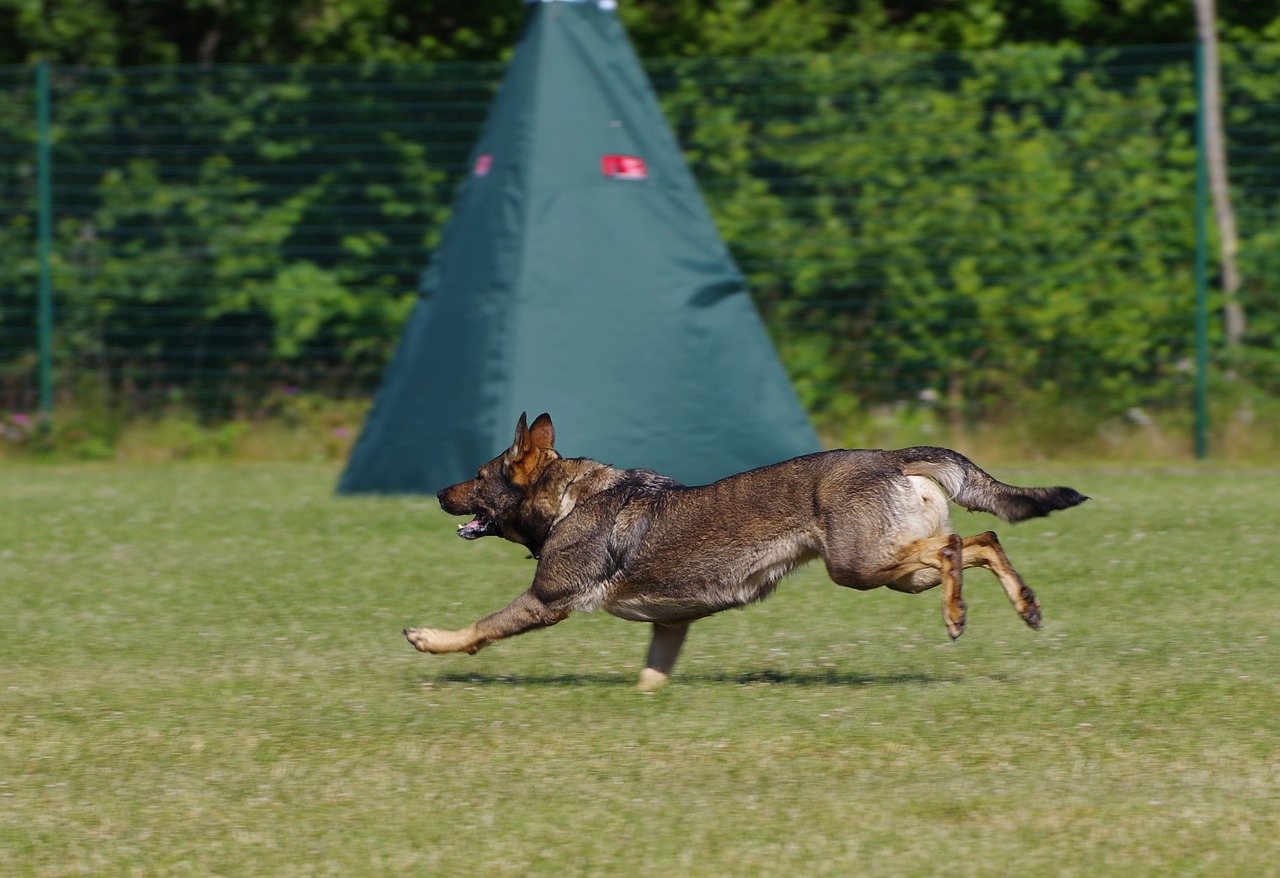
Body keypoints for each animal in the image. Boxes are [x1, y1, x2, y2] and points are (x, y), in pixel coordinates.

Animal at [404, 417, 1085, 691]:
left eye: (478, 476)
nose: (436, 492)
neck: (570, 499)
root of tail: (891, 457)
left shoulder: (548, 600)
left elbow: (479, 629)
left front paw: (429, 639)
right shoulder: (671, 624)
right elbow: (651, 675)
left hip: (859, 567)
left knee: (953, 545)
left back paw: (957, 616)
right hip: (891, 570)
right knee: (983, 542)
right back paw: (1026, 606)